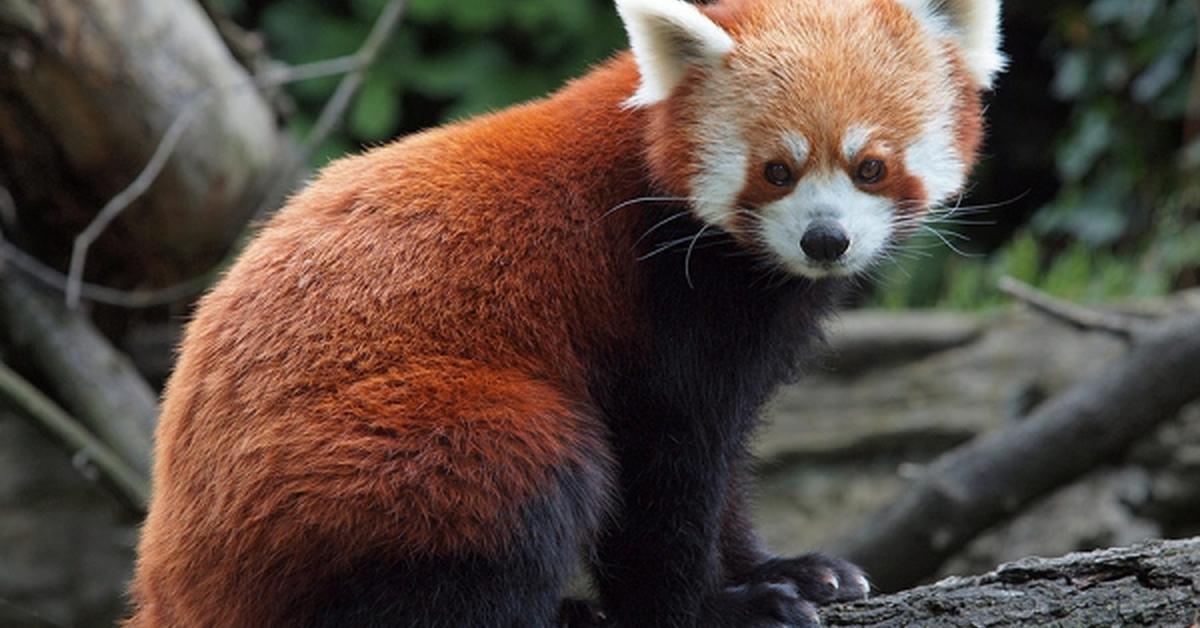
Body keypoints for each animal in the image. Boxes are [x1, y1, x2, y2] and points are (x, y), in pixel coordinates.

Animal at [126, 0, 998, 624]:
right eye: (777, 171)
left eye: (870, 166)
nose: (826, 240)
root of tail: (171, 580)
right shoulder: (655, 306)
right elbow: (665, 468)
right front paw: (719, 608)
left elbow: (725, 463)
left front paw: (782, 569)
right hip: (405, 444)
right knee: (532, 480)